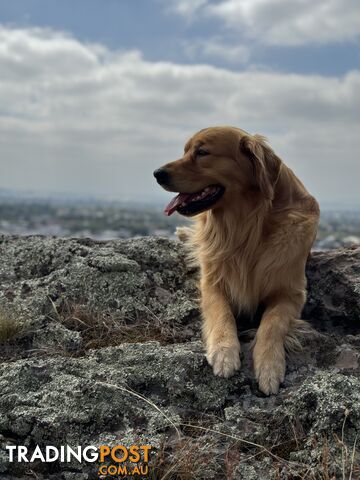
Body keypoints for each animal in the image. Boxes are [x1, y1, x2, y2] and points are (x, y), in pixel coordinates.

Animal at [153, 126, 320, 394]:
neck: (247, 227)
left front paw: (270, 366)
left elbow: (272, 323)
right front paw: (224, 351)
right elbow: (221, 313)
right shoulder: (212, 282)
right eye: (185, 151)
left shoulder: (292, 293)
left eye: (202, 152)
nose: (157, 173)